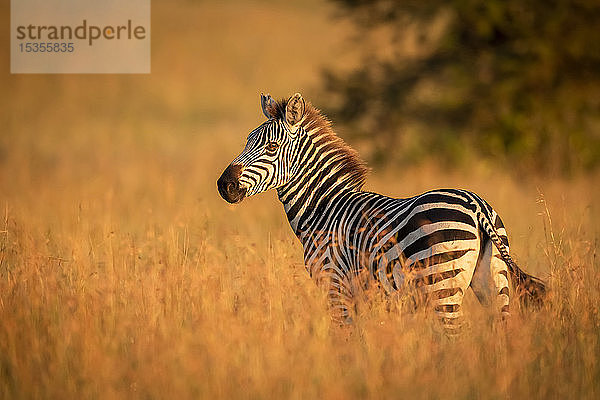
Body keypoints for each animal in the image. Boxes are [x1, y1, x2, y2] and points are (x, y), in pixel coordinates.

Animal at [218, 92, 548, 330]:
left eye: (271, 147)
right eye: (247, 141)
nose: (224, 185)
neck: (324, 208)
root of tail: (475, 205)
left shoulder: (336, 286)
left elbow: (346, 343)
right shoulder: (363, 295)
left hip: (442, 285)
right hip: (494, 282)